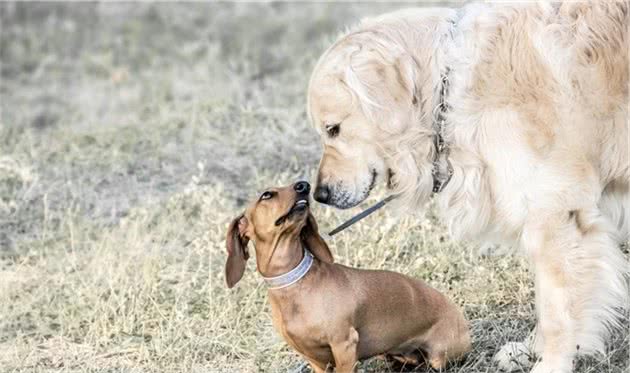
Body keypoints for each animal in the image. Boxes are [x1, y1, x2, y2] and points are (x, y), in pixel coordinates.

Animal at [225, 180, 472, 370]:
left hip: (439, 356)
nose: (304, 185)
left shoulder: (343, 344)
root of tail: (459, 316)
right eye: (267, 195)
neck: (294, 284)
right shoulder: (315, 360)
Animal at [308, 2, 628, 372]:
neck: (447, 90)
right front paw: (530, 348)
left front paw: (551, 362)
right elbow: (546, 298)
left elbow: (558, 310)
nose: (320, 194)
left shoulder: (556, 214)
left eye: (333, 129)